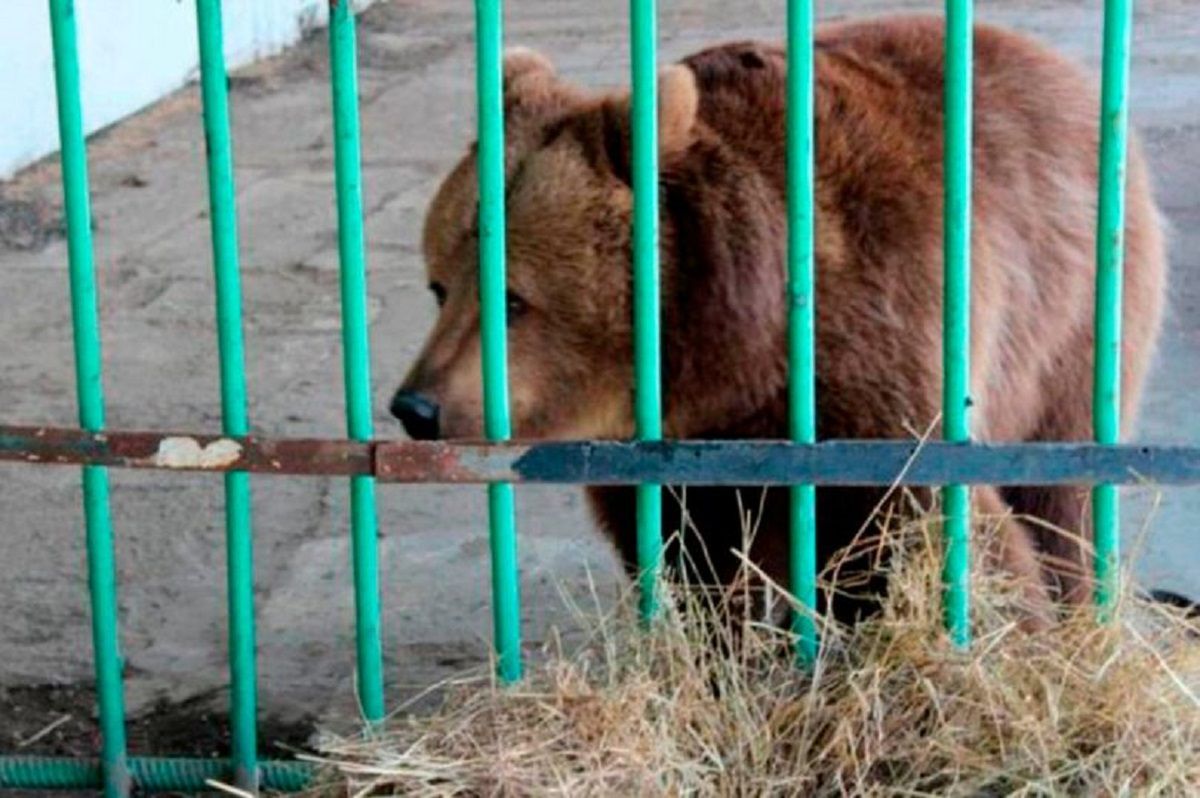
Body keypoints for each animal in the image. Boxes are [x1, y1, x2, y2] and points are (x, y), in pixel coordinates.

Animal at [388, 15, 1166, 624]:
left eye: (514, 298)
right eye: (439, 286)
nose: (416, 407)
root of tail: (1056, 67)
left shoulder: (871, 357)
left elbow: (930, 517)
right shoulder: (668, 455)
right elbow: (687, 559)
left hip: (1071, 315)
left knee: (1057, 491)